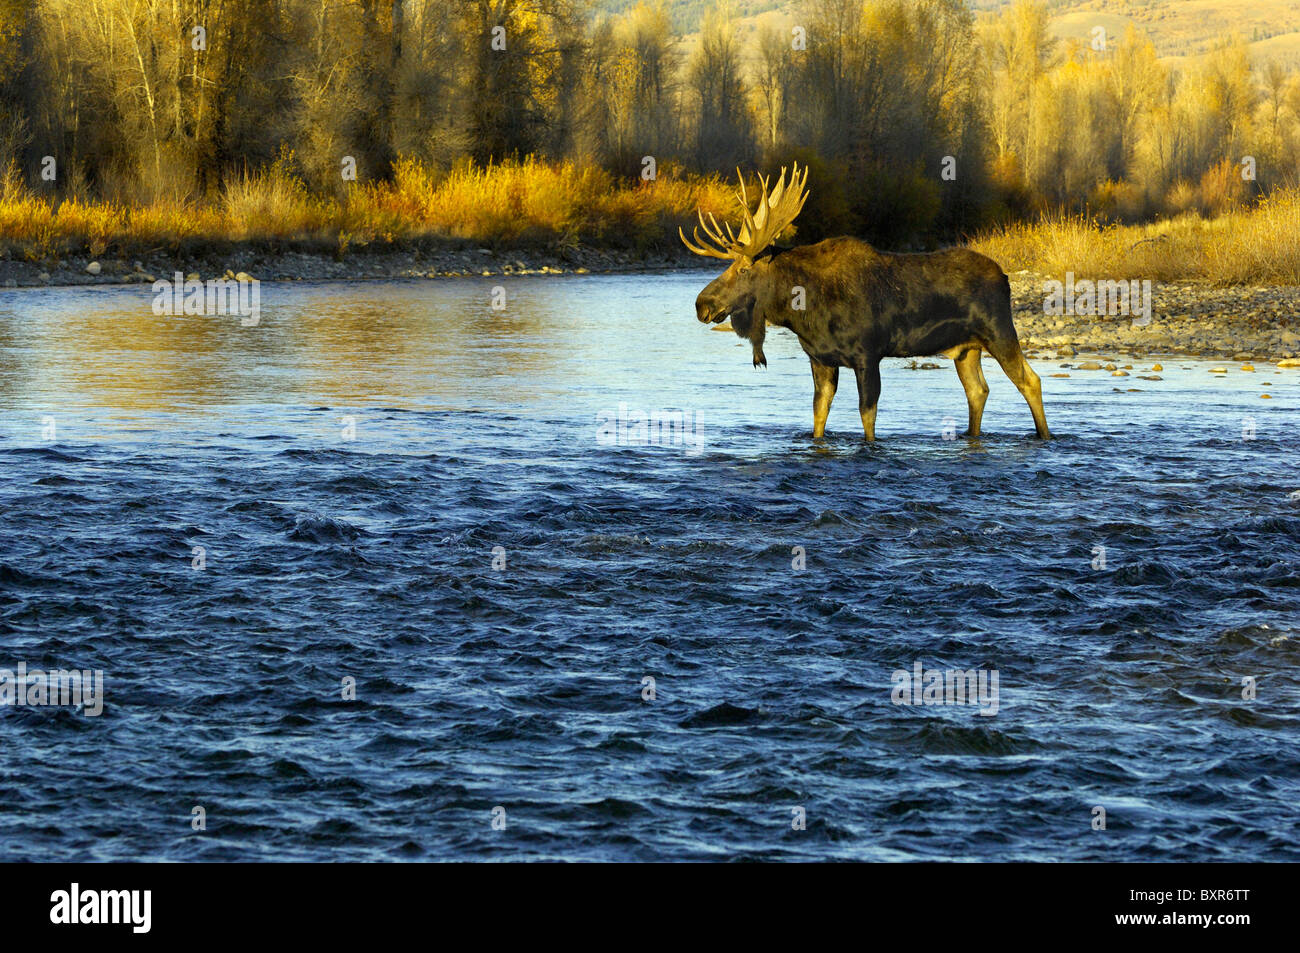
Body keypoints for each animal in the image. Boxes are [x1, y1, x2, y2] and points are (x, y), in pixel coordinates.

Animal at [686, 165, 1050, 439]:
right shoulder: (820, 359)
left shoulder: (867, 354)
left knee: (1030, 381)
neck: (804, 312)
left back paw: (1044, 437)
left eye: (744, 269)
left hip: (999, 331)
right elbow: (819, 416)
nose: (702, 304)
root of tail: (1004, 278)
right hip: (966, 349)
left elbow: (868, 417)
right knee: (978, 391)